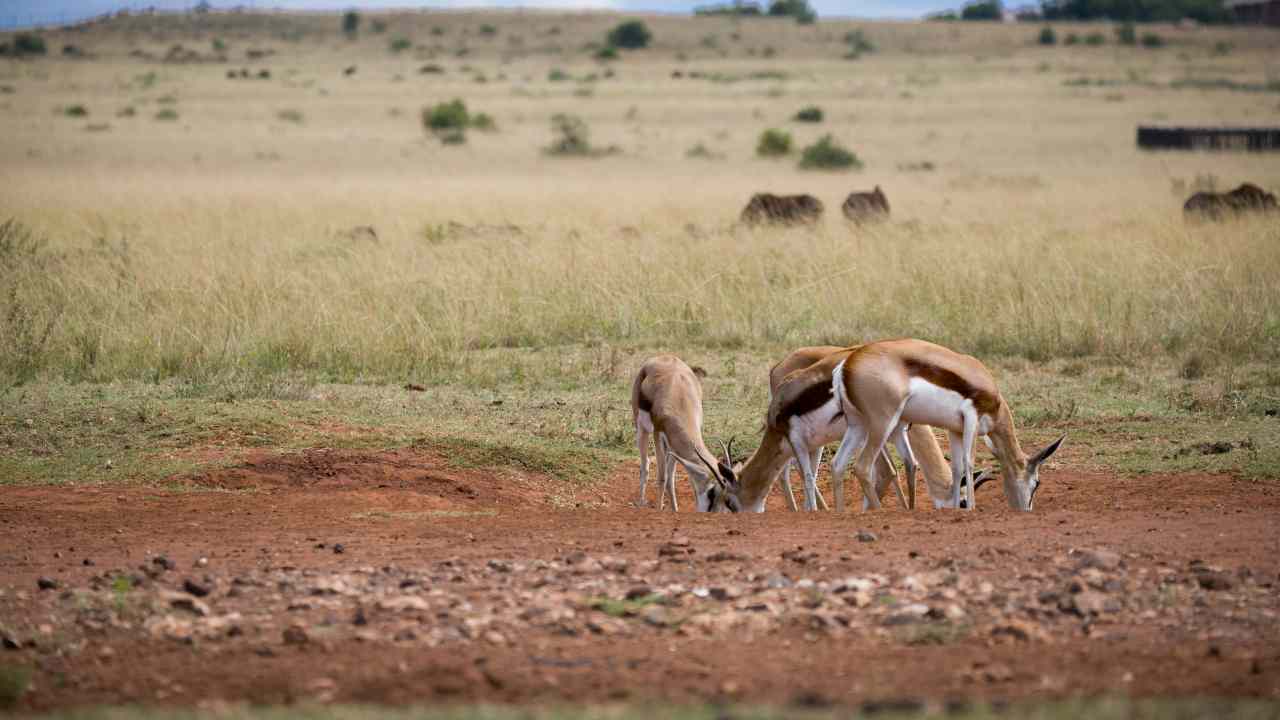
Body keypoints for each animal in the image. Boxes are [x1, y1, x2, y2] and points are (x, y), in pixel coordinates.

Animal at [627, 353, 721, 509]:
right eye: (712, 493)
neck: (681, 398)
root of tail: (663, 356)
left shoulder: (674, 444)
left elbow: (671, 478)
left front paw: (675, 509)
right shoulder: (658, 434)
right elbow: (662, 477)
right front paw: (659, 508)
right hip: (642, 430)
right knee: (645, 465)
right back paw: (640, 503)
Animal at [824, 338, 1064, 509]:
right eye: (1036, 484)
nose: (1026, 510)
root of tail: (845, 365)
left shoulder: (955, 429)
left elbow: (957, 469)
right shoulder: (972, 418)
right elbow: (969, 462)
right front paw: (970, 509)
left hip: (857, 426)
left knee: (838, 464)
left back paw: (840, 513)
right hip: (882, 424)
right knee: (862, 467)